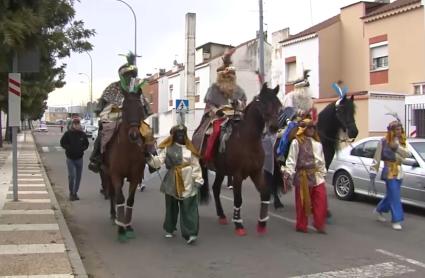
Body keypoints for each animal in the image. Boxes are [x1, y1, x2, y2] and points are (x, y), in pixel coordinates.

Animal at [100, 90, 146, 241]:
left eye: (140, 108)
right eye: (124, 108)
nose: (134, 135)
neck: (128, 150)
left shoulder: (136, 176)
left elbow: (130, 200)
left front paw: (128, 226)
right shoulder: (116, 175)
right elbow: (120, 198)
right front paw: (121, 229)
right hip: (107, 173)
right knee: (112, 194)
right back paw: (114, 216)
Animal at [199, 83, 282, 236]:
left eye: (278, 105)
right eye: (263, 103)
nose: (274, 127)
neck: (248, 140)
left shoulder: (256, 173)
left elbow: (265, 194)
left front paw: (262, 223)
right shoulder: (237, 175)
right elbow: (238, 199)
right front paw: (238, 224)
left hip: (221, 171)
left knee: (215, 189)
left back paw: (222, 215)